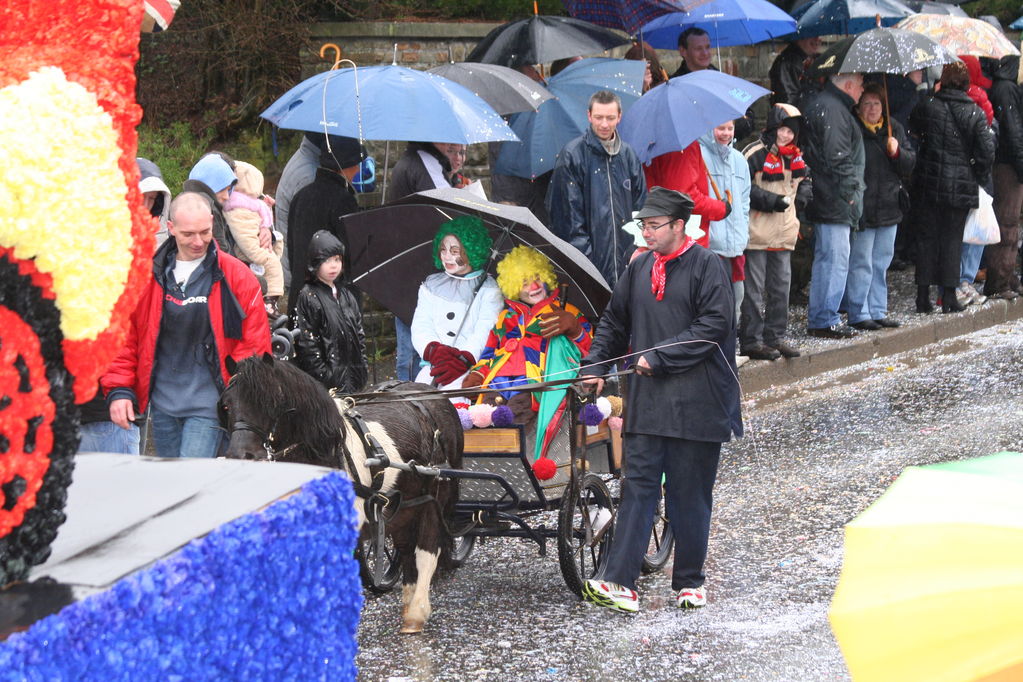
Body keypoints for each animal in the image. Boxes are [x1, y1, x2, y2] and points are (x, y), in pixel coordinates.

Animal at [225, 355, 468, 638]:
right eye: (227, 403)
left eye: (270, 401)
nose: (240, 456)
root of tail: (436, 397)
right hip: (404, 505)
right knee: (406, 548)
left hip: (435, 496)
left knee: (427, 548)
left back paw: (417, 612)